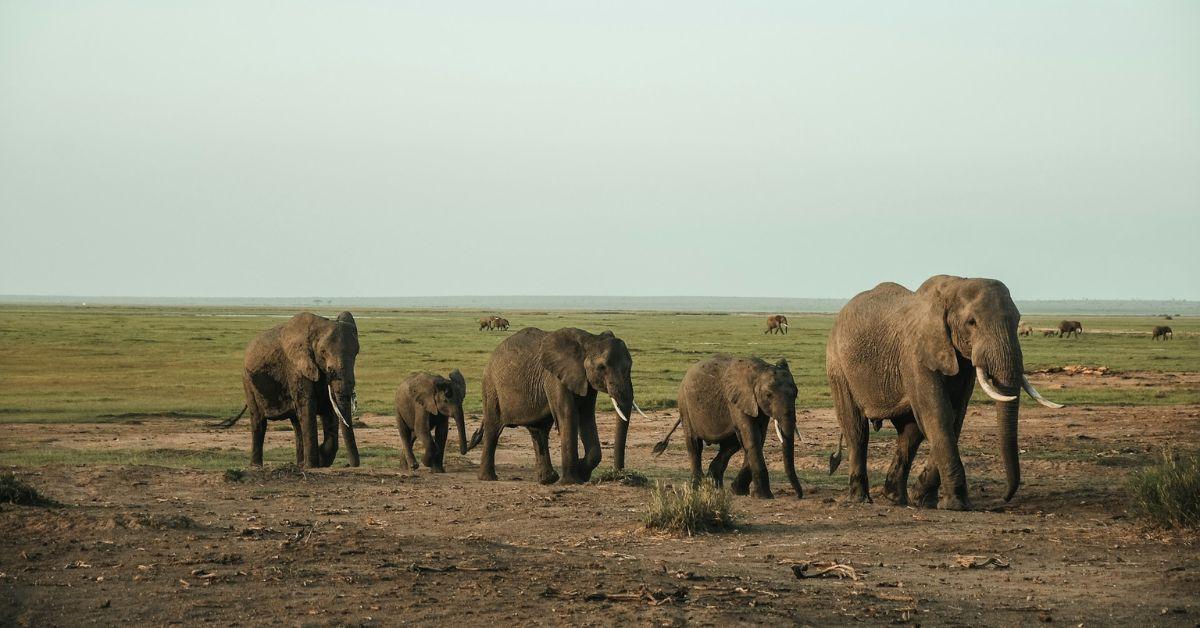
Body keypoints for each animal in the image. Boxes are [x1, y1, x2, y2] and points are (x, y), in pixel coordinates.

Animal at [219, 312, 360, 468]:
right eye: (323, 352)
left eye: (356, 353)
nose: (353, 465)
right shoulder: (296, 368)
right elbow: (308, 407)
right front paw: (313, 465)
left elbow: (329, 408)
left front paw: (320, 459)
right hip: (247, 382)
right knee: (258, 422)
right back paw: (257, 466)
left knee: (297, 424)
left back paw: (299, 464)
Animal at [463, 326, 643, 485]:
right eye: (602, 367)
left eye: (630, 365)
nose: (620, 476)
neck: (590, 340)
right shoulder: (554, 377)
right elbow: (568, 414)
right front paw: (572, 481)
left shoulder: (585, 380)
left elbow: (587, 416)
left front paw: (581, 472)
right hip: (491, 387)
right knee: (493, 428)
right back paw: (488, 478)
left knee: (538, 430)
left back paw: (547, 480)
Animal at [652, 355, 801, 499]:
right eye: (769, 395)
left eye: (796, 393)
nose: (799, 495)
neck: (760, 371)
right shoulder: (737, 401)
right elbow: (752, 437)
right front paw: (764, 496)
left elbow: (758, 437)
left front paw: (739, 491)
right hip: (684, 404)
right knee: (694, 444)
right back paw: (698, 487)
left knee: (731, 444)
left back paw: (713, 485)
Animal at [825, 276, 1060, 511]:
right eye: (971, 323)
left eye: (1017, 320)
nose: (1005, 498)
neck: (954, 287)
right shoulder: (915, 354)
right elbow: (938, 415)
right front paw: (957, 504)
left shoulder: (962, 362)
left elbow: (954, 418)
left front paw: (923, 499)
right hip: (837, 365)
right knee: (857, 430)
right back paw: (860, 499)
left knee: (909, 433)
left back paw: (895, 498)